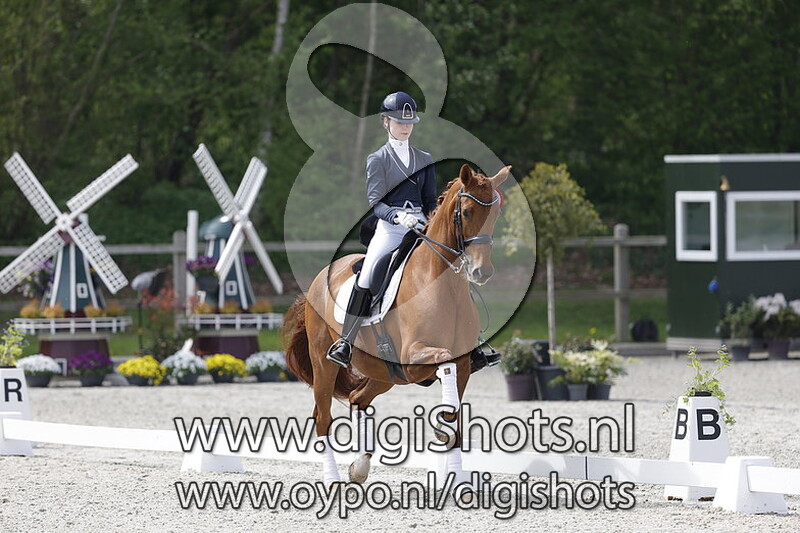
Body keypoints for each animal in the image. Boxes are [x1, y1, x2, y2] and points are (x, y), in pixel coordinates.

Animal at [283, 163, 510, 489]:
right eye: (466, 212)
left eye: (496, 214)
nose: (482, 272)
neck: (443, 285)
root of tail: (321, 277)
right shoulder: (413, 358)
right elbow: (443, 364)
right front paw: (441, 430)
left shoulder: (464, 364)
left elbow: (455, 421)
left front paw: (456, 478)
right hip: (324, 362)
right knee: (323, 417)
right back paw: (333, 479)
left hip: (383, 373)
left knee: (358, 398)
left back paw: (359, 467)